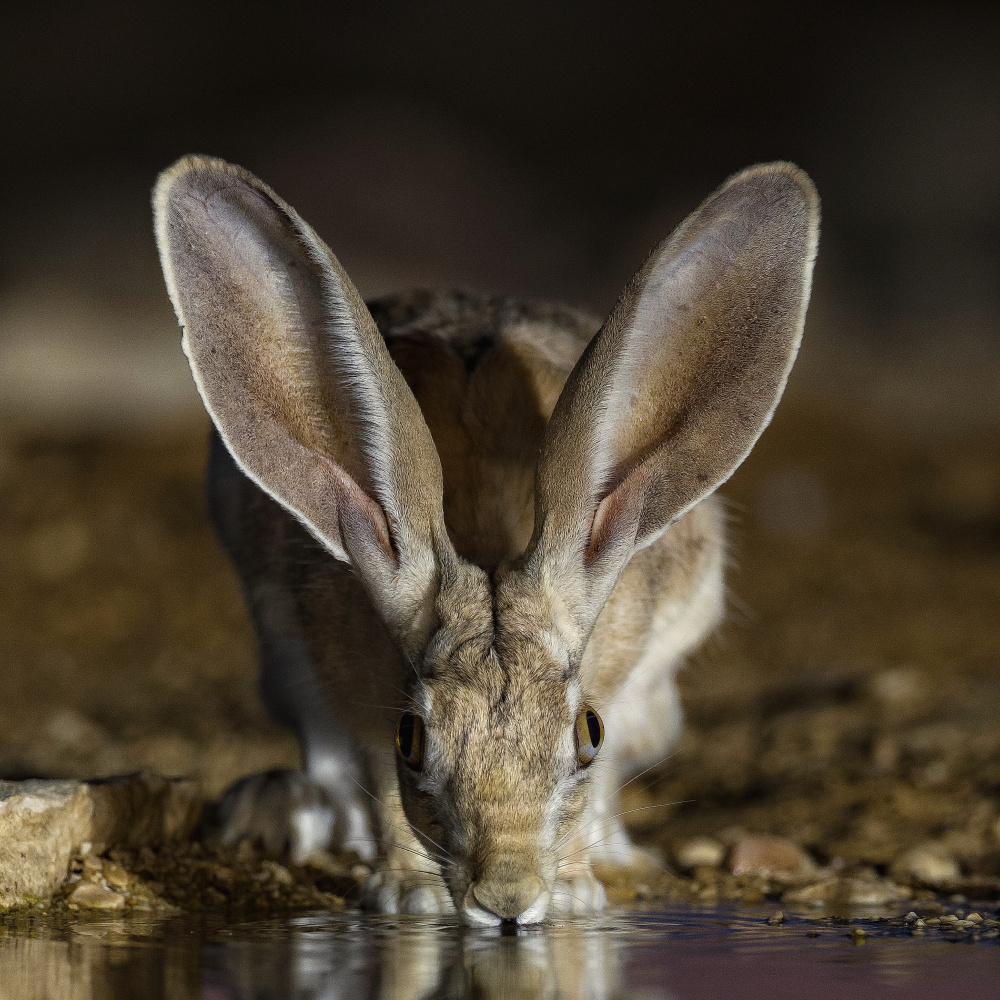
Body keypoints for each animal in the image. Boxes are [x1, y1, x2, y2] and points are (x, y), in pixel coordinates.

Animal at [153, 155, 818, 925]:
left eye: (586, 732)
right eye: (414, 738)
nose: (506, 900)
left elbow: (593, 793)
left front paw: (577, 892)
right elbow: (384, 794)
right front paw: (407, 896)